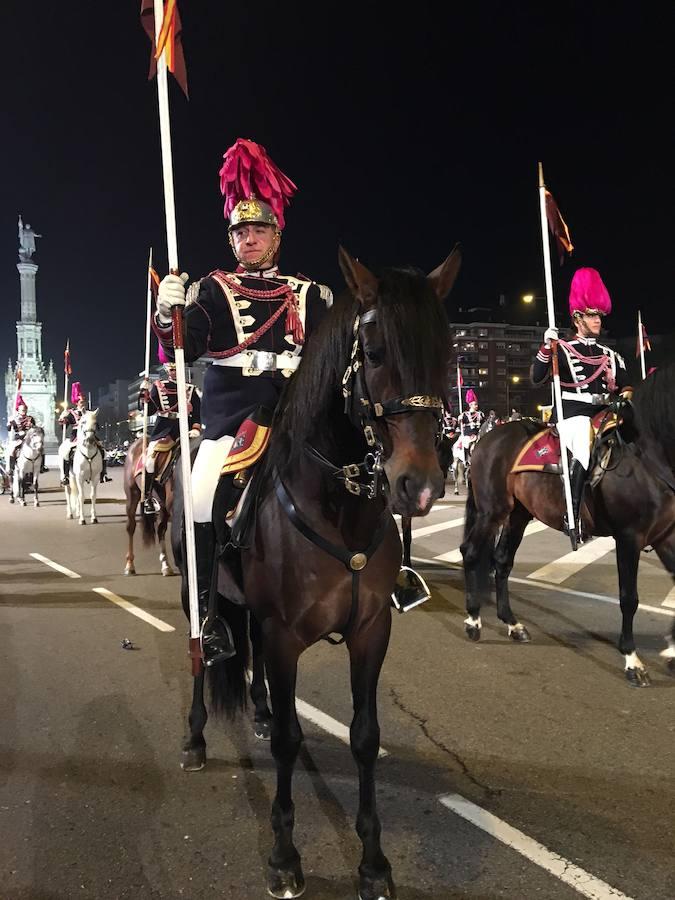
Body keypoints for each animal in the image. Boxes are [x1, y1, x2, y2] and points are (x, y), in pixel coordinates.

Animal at [174, 246, 462, 900]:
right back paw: (197, 737)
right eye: (374, 352)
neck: (340, 504)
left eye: (446, 355)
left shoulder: (370, 631)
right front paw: (284, 856)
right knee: (202, 649)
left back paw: (254, 712)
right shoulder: (285, 636)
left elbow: (364, 737)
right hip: (192, 589)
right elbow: (289, 738)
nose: (420, 486)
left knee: (246, 649)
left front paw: (374, 863)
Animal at [462, 366, 675, 688]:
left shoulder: (665, 536)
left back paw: (512, 624)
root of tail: (488, 439)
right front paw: (632, 660)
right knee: (472, 552)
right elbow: (628, 598)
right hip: (492, 511)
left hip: (519, 514)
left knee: (501, 561)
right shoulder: (629, 538)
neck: (647, 454)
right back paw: (473, 620)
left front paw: (671, 650)